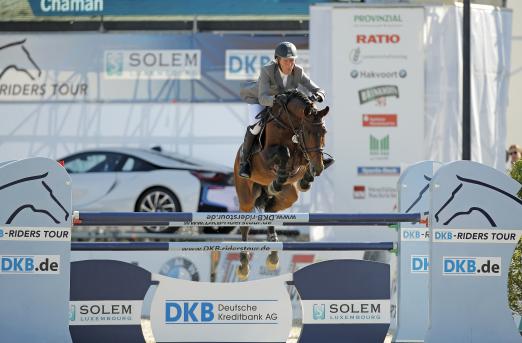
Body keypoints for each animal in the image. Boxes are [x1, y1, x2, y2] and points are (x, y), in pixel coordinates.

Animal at [233, 90, 328, 280]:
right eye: (307, 131)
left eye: (324, 131)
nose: (319, 168)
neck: (288, 124)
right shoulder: (266, 156)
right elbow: (284, 152)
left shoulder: (302, 156)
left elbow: (302, 159)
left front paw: (307, 178)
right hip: (246, 197)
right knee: (245, 223)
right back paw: (244, 265)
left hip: (289, 196)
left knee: (270, 209)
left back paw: (273, 251)